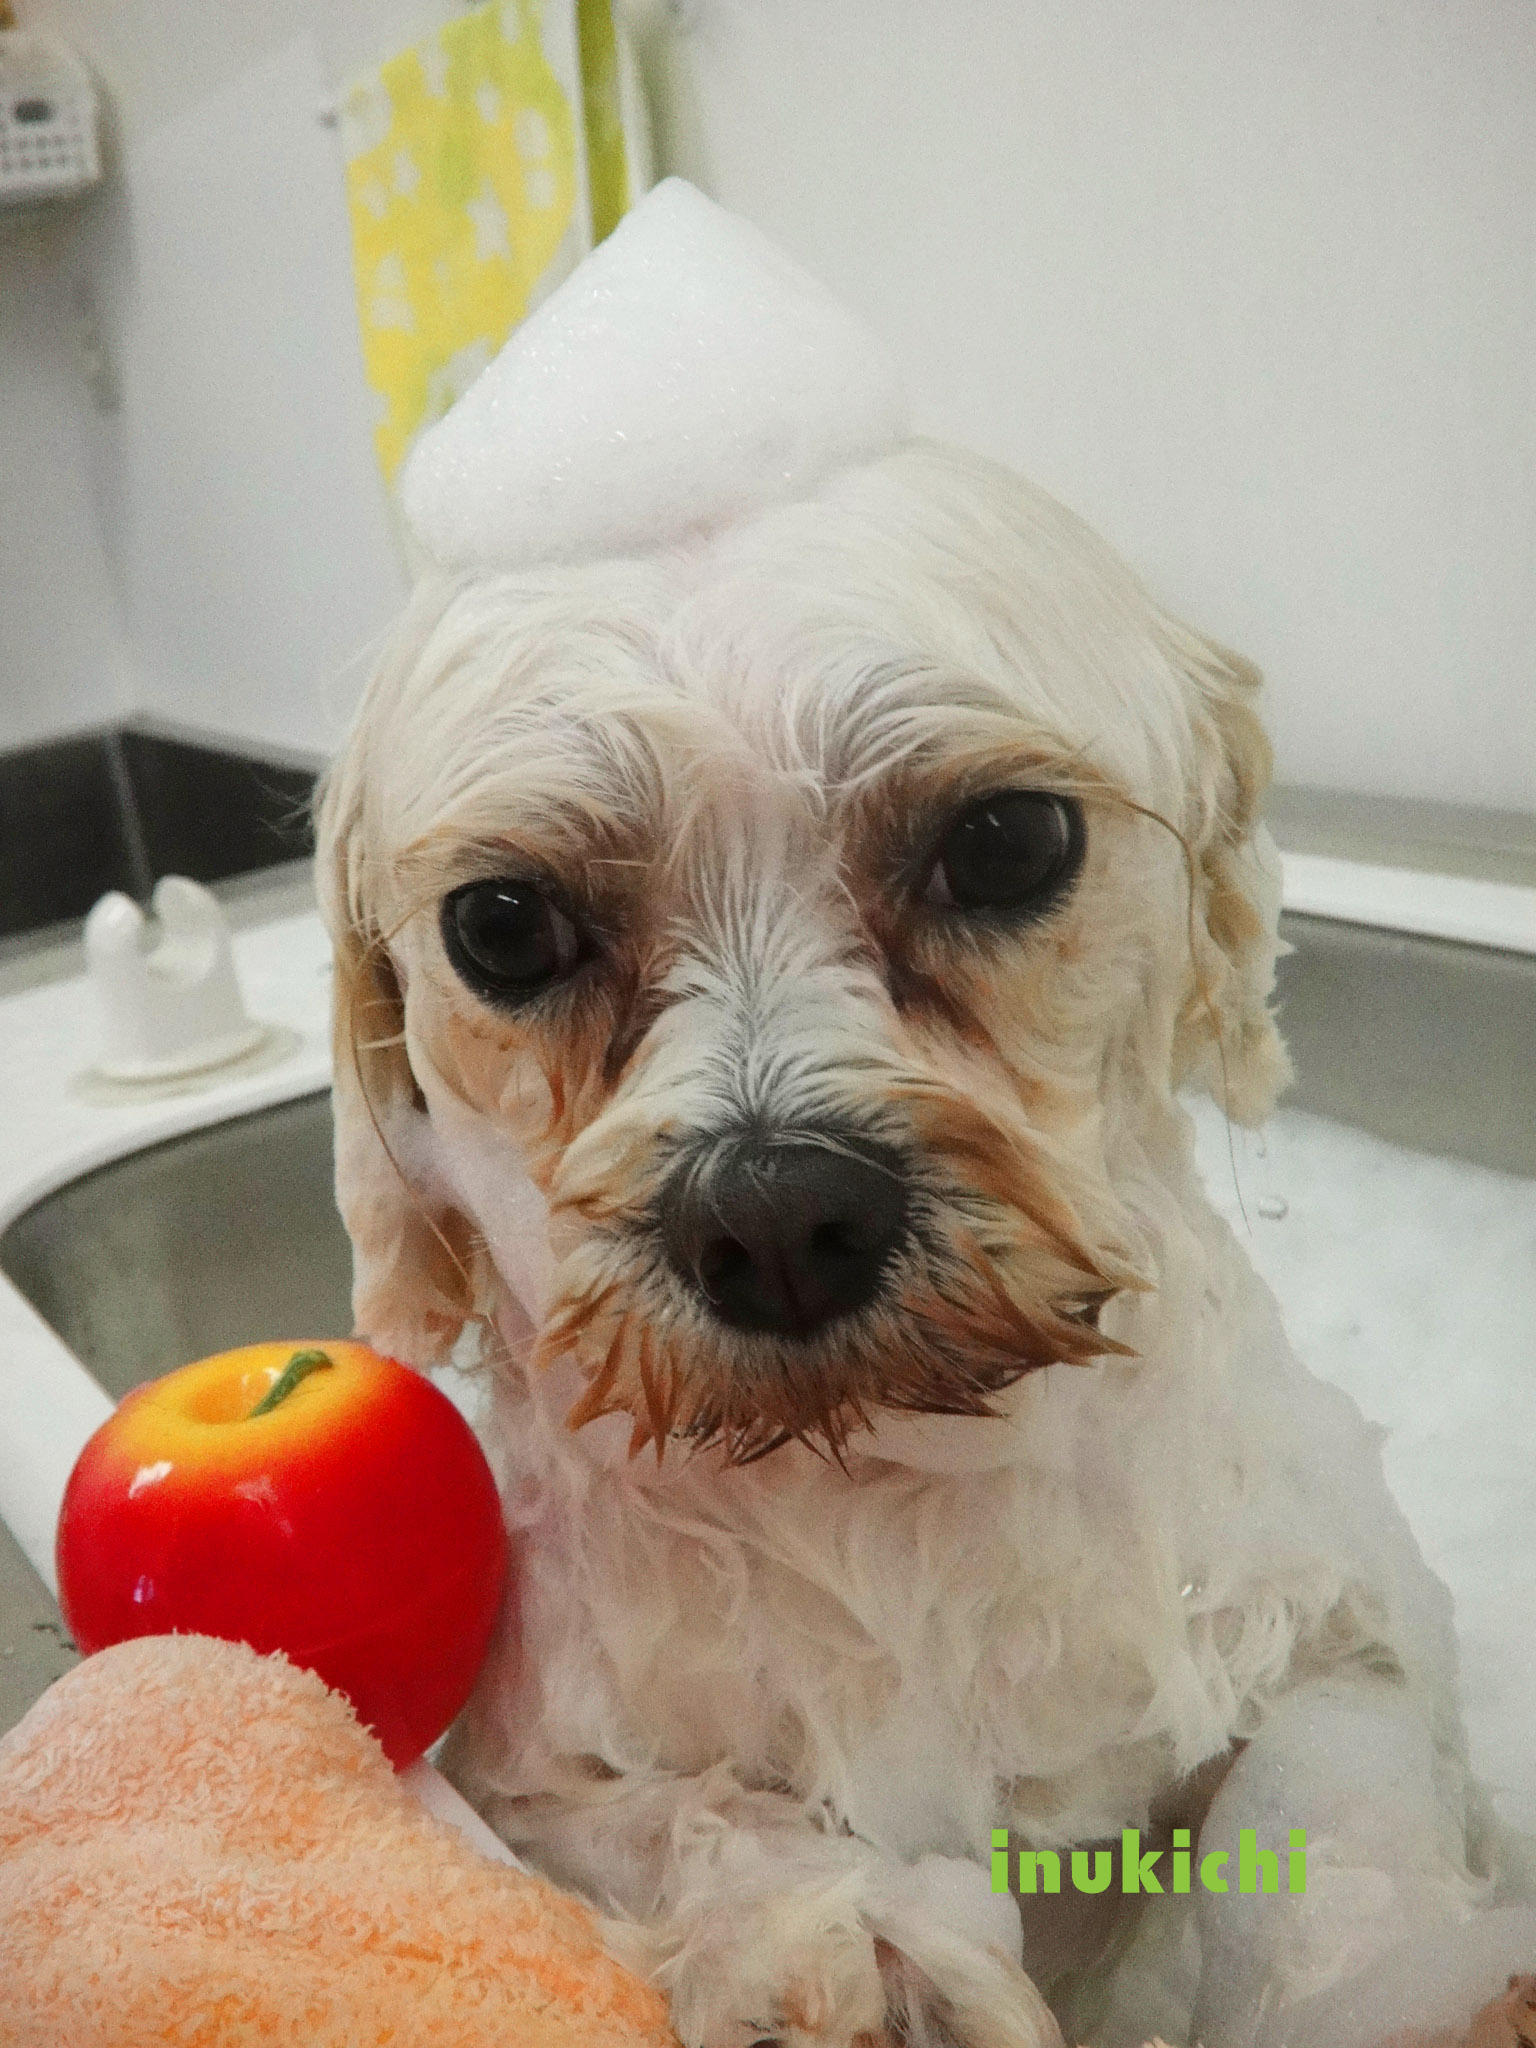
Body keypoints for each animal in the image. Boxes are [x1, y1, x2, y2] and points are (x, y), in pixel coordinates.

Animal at [317, 438, 1536, 2048]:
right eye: (505, 923)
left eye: (1006, 840)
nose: (774, 1213)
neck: (888, 1492)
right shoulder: (526, 1782)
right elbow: (689, 1827)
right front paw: (853, 1951)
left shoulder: (1344, 1620)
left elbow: (1319, 1786)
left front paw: (1398, 1985)